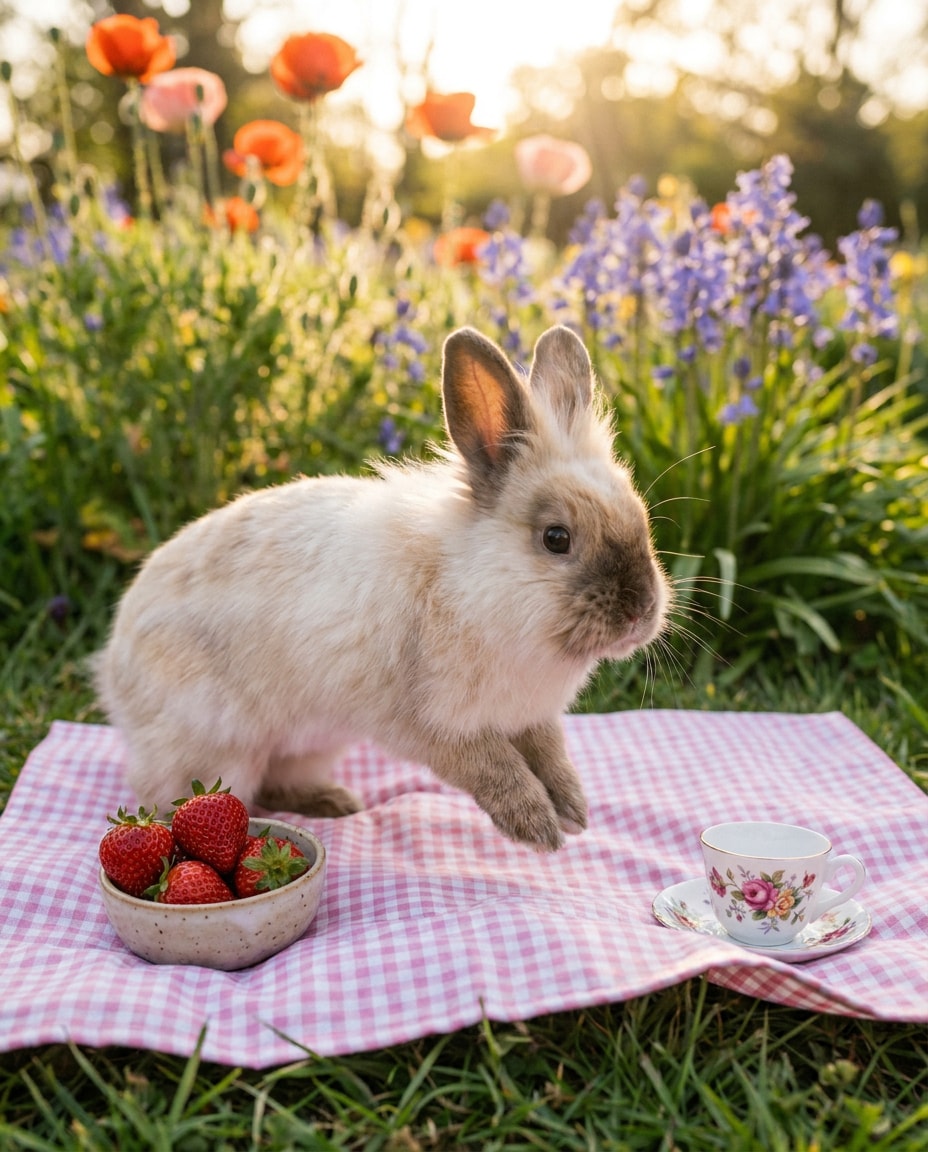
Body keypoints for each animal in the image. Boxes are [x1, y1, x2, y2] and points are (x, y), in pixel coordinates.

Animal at [92, 324, 670, 852]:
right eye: (556, 538)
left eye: (640, 519)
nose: (640, 610)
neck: (472, 586)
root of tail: (113, 667)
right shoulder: (437, 728)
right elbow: (496, 769)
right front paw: (536, 827)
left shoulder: (533, 718)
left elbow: (553, 757)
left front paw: (573, 811)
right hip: (221, 753)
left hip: (306, 748)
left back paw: (334, 802)